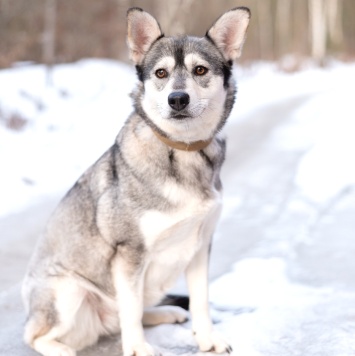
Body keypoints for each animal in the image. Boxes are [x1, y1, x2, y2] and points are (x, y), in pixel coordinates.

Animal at [22, 6, 250, 356]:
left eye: (200, 70)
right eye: (160, 73)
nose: (178, 99)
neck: (182, 152)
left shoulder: (200, 245)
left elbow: (200, 301)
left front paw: (207, 338)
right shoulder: (129, 253)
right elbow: (129, 310)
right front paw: (139, 348)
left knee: (136, 311)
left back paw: (166, 312)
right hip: (68, 293)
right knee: (34, 335)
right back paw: (64, 350)